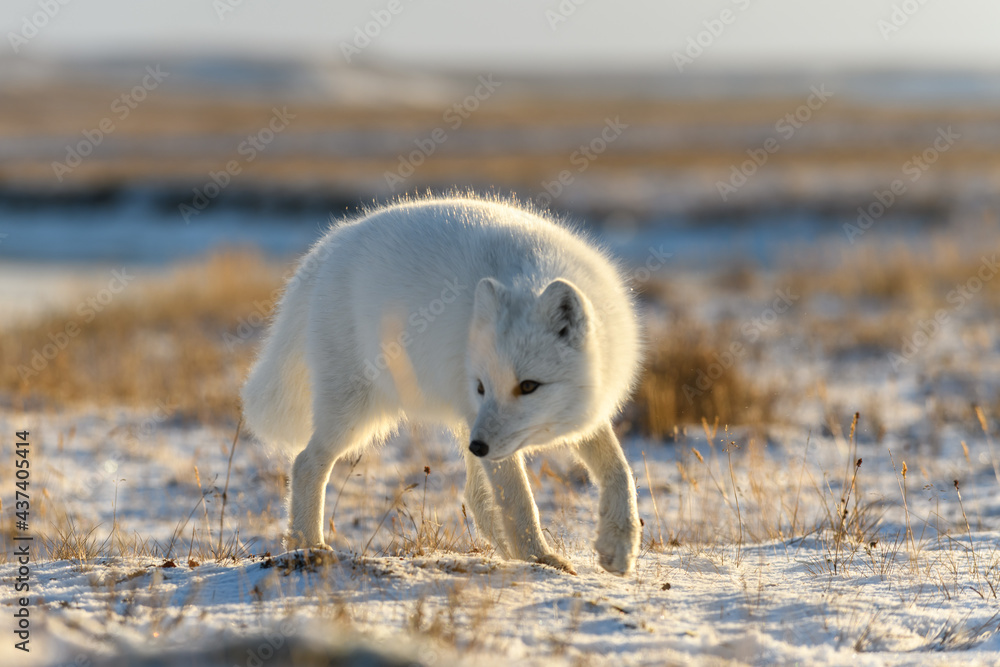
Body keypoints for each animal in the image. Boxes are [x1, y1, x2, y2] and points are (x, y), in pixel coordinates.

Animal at [243, 196, 648, 576]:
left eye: (529, 386)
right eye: (483, 386)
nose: (479, 446)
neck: (530, 276)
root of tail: (333, 240)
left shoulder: (582, 413)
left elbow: (619, 471)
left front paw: (619, 544)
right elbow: (519, 500)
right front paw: (540, 558)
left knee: (477, 498)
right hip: (357, 414)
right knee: (305, 464)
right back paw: (307, 547)